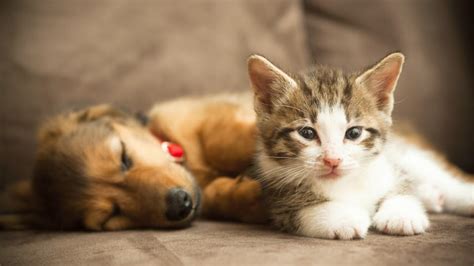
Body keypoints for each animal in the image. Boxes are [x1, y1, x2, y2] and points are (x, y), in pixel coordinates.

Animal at [248, 53, 474, 240]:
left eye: (354, 133)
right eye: (307, 133)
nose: (332, 160)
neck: (347, 182)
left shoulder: (388, 165)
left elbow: (402, 186)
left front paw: (401, 214)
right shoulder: (275, 196)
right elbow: (298, 210)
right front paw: (342, 218)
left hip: (408, 154)